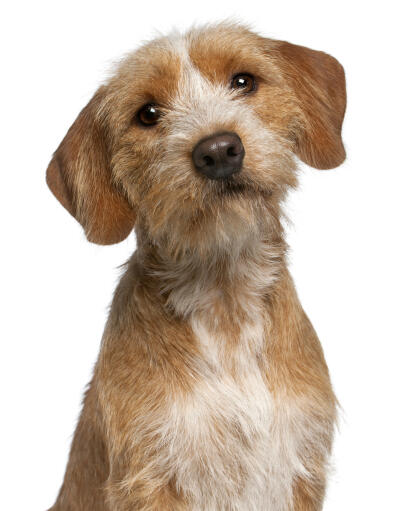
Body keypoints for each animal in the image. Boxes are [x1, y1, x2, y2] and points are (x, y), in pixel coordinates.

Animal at [46, 23, 346, 511]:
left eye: (243, 81)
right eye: (148, 114)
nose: (219, 150)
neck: (225, 300)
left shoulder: (298, 462)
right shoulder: (152, 475)